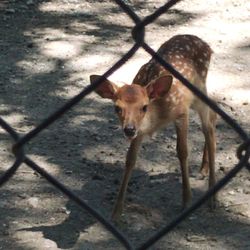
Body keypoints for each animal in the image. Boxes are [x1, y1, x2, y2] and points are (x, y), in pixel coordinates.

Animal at [90, 34, 217, 220]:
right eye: (117, 108)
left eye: (144, 107)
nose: (129, 129)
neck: (158, 116)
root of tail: (205, 43)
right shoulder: (140, 131)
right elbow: (130, 159)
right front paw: (116, 212)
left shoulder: (182, 112)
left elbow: (182, 152)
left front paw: (187, 200)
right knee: (213, 117)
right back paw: (203, 169)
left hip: (199, 91)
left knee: (208, 126)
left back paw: (212, 196)